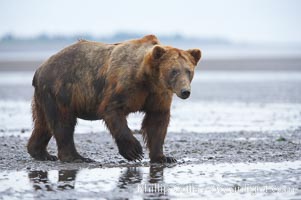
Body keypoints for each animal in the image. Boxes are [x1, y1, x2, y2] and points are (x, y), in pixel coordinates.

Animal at [27, 34, 200, 162]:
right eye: (174, 71)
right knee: (63, 122)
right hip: (60, 89)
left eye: (189, 71)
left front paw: (164, 157)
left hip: (44, 96)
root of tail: (40, 68)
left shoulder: (158, 94)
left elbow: (157, 122)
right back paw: (76, 157)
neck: (148, 78)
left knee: (43, 123)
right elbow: (112, 111)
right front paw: (134, 151)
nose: (185, 91)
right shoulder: (124, 86)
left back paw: (41, 153)